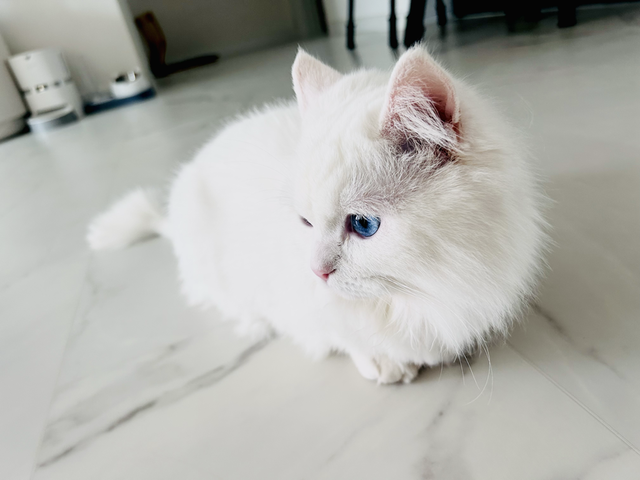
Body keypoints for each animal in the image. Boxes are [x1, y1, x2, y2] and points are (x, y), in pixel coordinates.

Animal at [87, 46, 547, 384]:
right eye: (305, 224)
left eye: (363, 225)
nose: (316, 271)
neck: (425, 289)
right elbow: (343, 330)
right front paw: (388, 362)